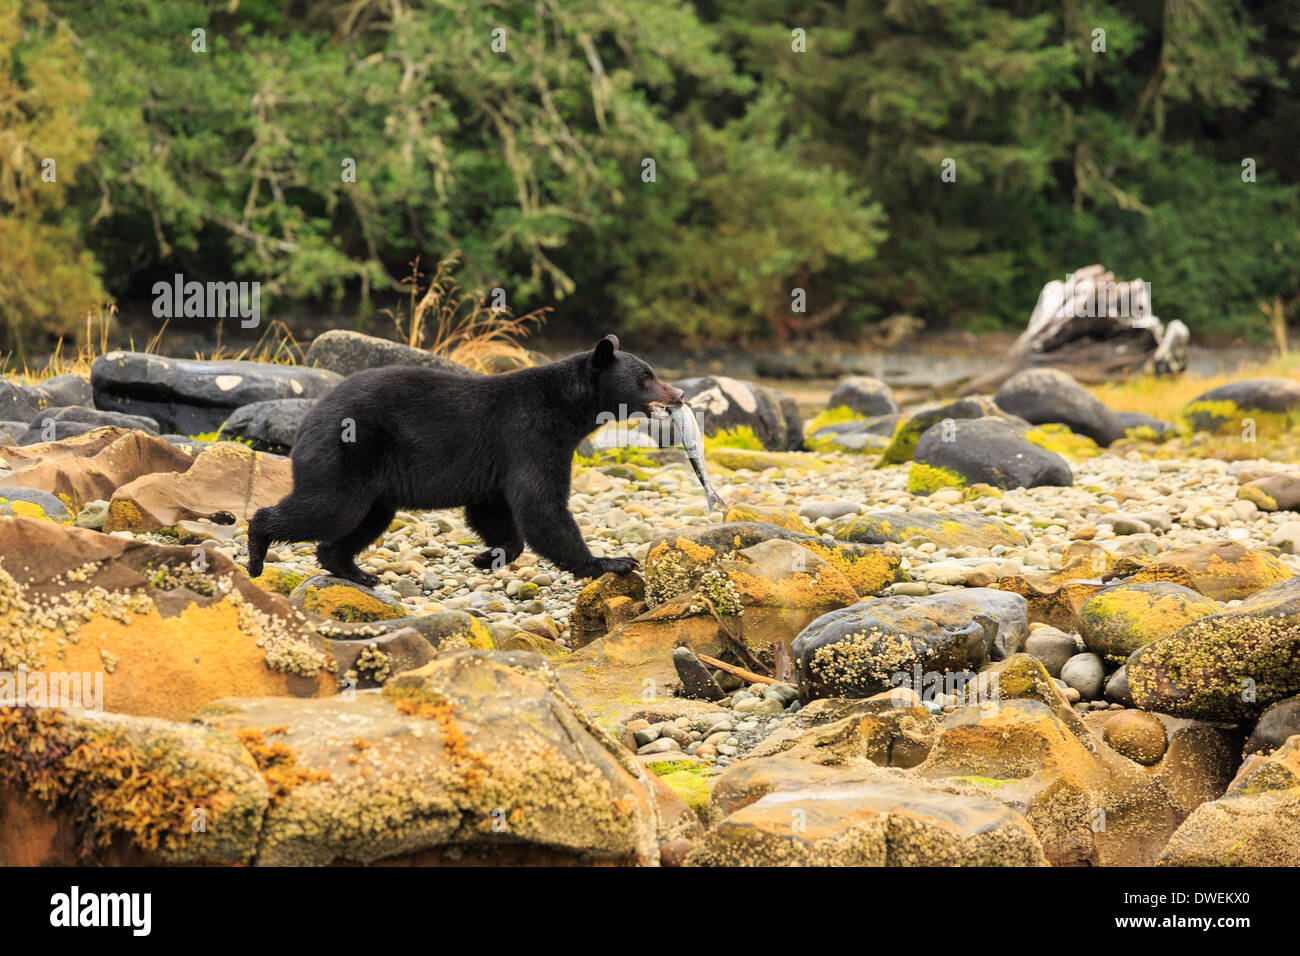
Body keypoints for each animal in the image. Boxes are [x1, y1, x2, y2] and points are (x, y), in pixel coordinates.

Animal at [246, 335, 686, 590]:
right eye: (647, 376)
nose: (679, 393)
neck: (568, 408)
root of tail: (310, 416)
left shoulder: (503, 460)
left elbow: (494, 512)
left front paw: (486, 556)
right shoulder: (532, 436)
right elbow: (542, 507)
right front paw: (612, 561)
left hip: (374, 486)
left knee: (363, 520)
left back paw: (357, 571)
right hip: (345, 455)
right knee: (328, 508)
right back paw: (256, 552)